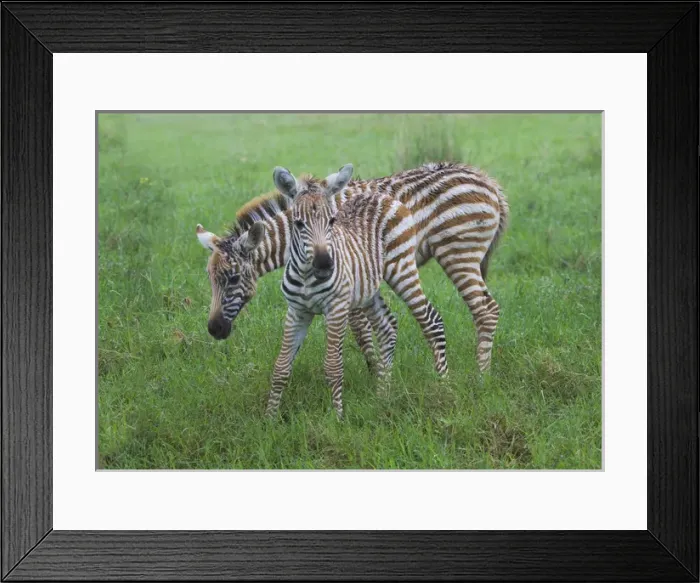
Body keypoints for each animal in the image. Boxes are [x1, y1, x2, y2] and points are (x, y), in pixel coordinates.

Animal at [196, 160, 508, 373]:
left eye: (233, 278)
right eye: (210, 279)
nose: (214, 330)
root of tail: (489, 182)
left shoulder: (348, 276)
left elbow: (361, 332)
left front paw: (374, 375)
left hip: (457, 253)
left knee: (485, 311)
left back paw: (480, 376)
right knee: (489, 309)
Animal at [264, 163, 447, 419]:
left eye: (332, 221)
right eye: (299, 224)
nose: (325, 265)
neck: (307, 277)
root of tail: (380, 195)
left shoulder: (337, 308)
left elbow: (333, 365)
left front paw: (338, 417)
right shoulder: (297, 311)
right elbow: (281, 366)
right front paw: (270, 417)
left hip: (401, 268)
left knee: (431, 320)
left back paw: (444, 385)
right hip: (368, 286)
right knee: (387, 327)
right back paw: (382, 395)